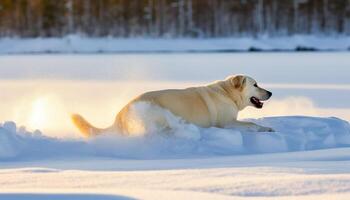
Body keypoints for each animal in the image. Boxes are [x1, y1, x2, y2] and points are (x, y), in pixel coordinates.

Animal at [71, 75, 274, 138]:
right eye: (255, 84)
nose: (271, 93)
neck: (228, 94)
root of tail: (120, 113)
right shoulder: (226, 124)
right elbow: (252, 124)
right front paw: (267, 129)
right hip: (157, 112)